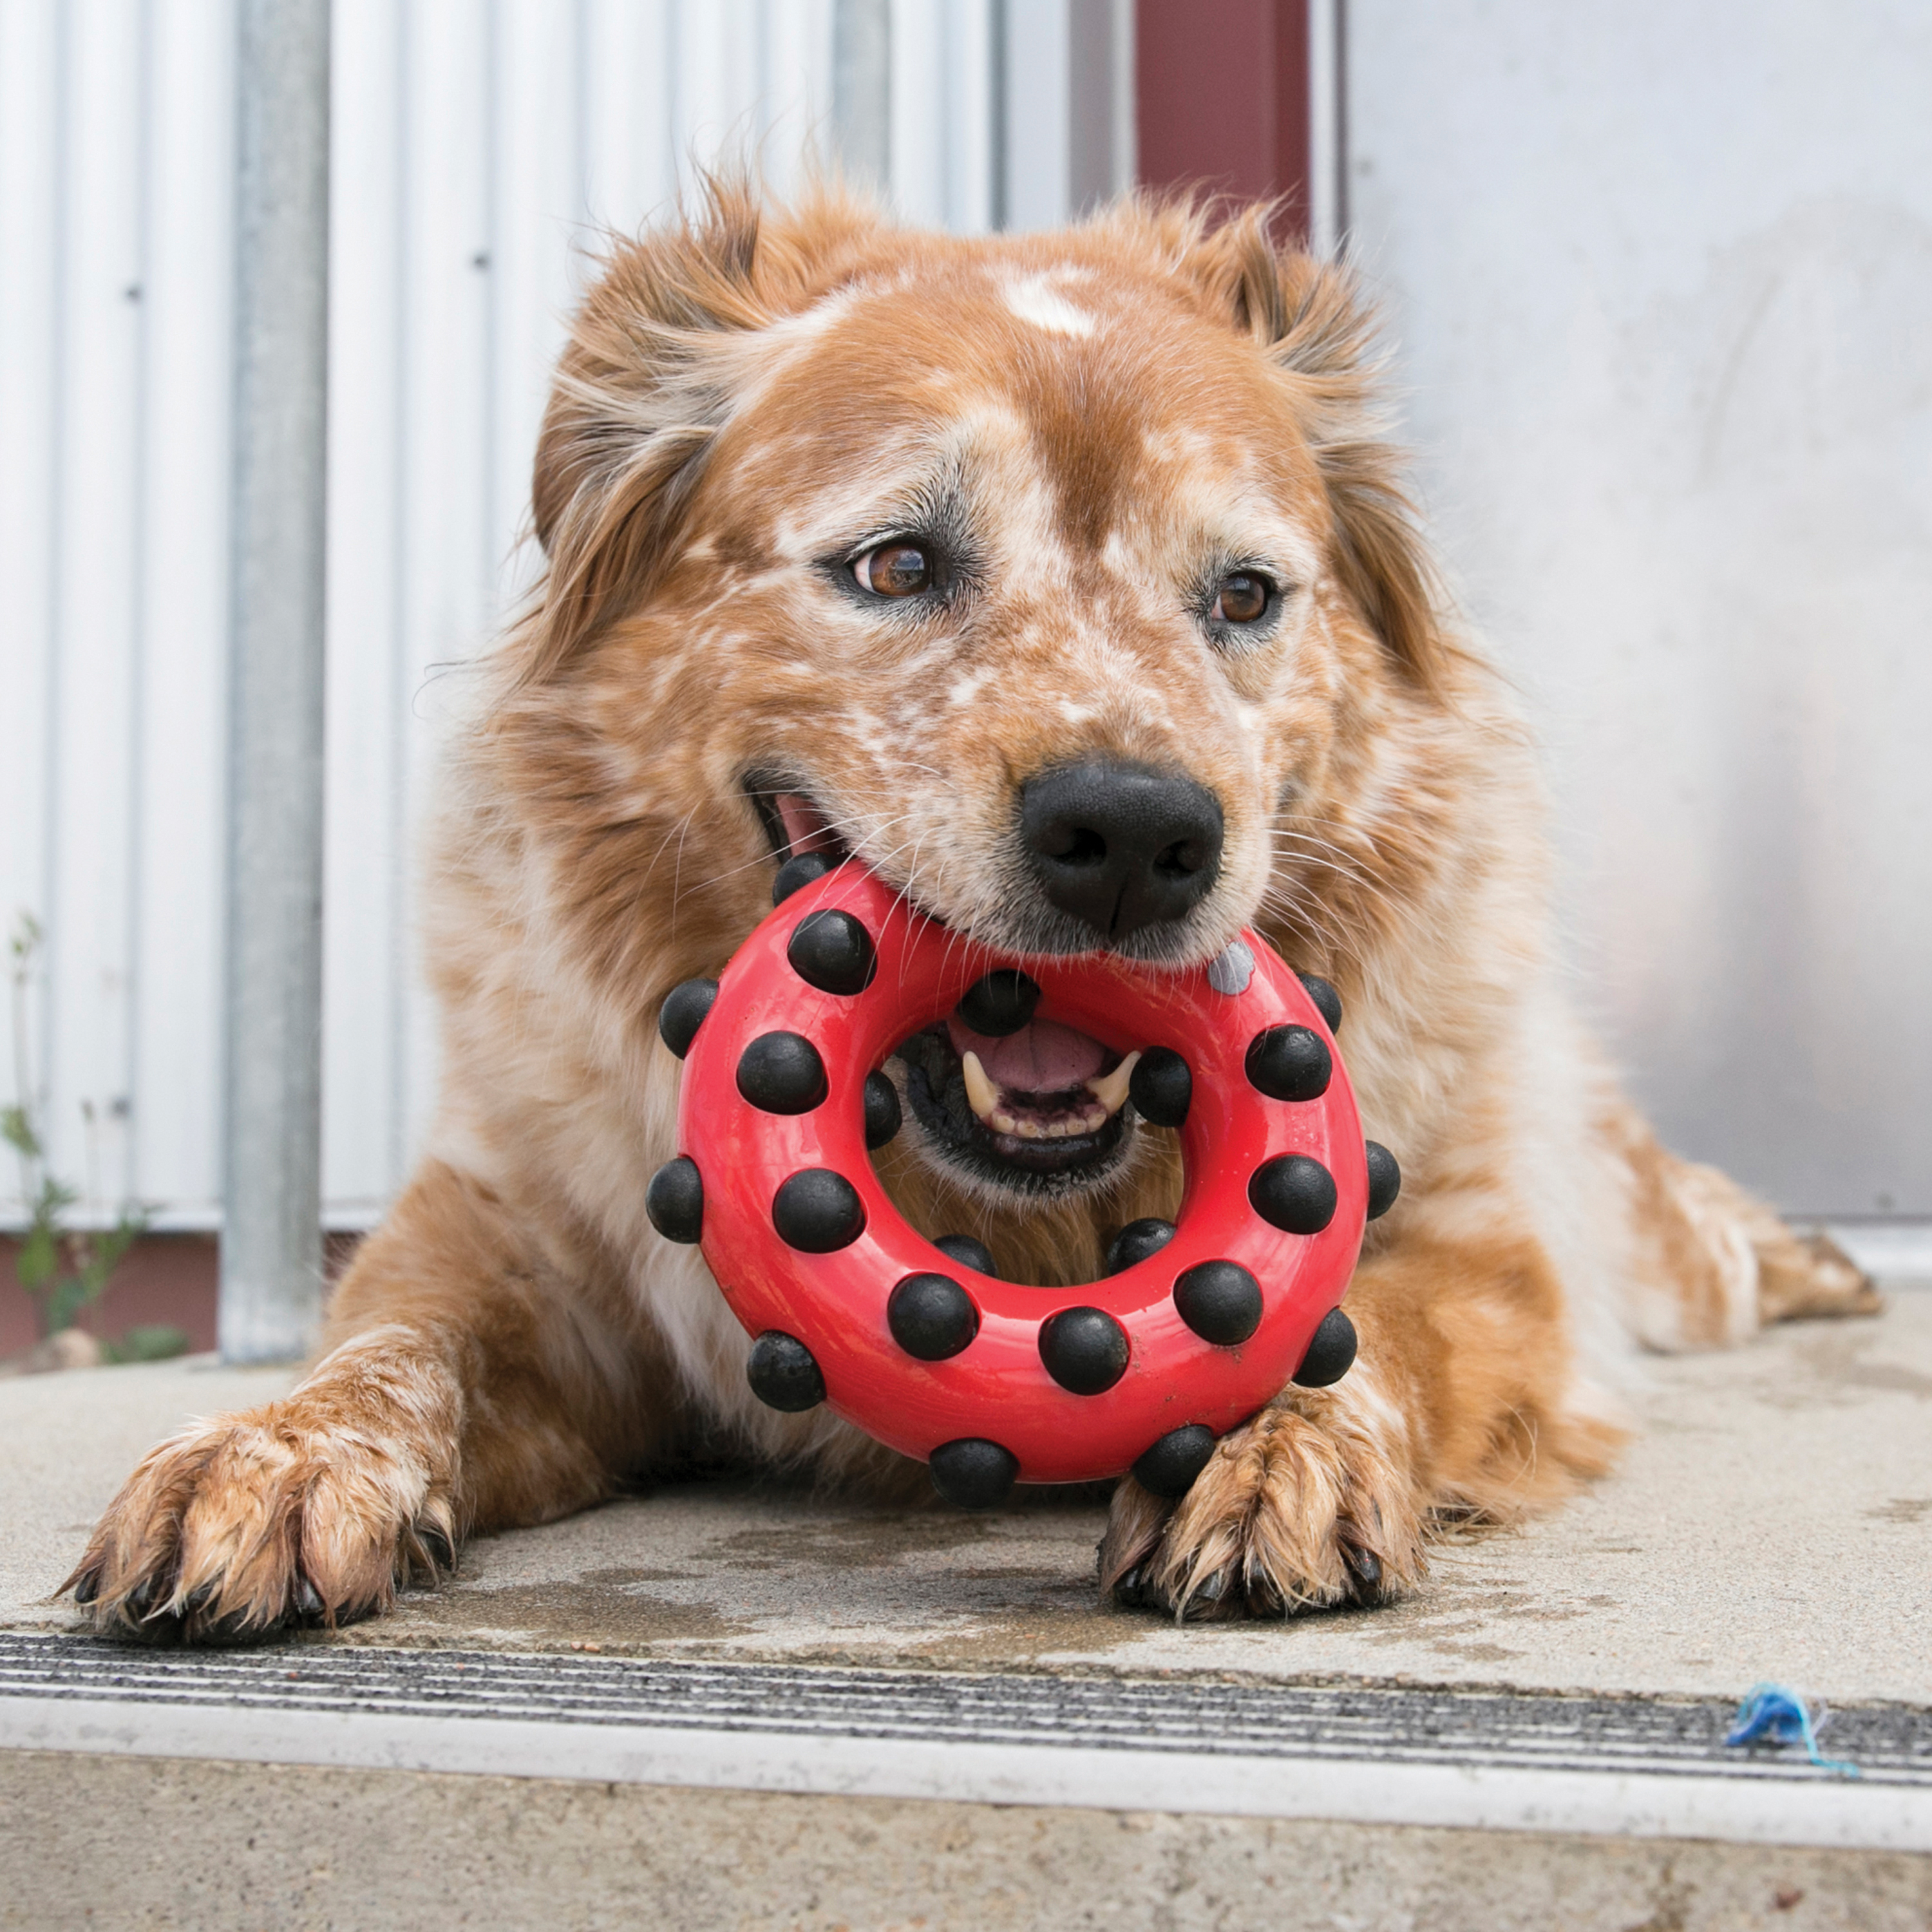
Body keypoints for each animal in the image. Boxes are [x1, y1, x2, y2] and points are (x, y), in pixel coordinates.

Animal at [68, 182, 1862, 1638]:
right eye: (894, 566)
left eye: (1243, 595)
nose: (1135, 834)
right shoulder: (511, 1241)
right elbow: (387, 1349)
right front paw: (267, 1458)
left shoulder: (1490, 1252)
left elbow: (1364, 1328)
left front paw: (1268, 1452)